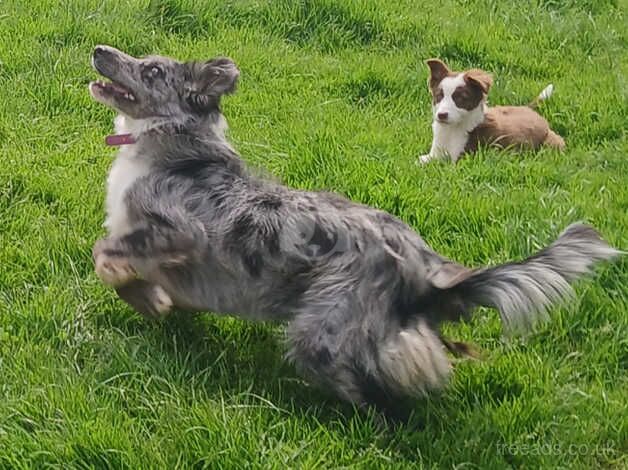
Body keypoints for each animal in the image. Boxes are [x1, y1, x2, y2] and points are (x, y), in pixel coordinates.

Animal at [422, 59, 564, 164]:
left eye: (461, 98)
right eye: (439, 96)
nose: (441, 115)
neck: (452, 129)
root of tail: (529, 109)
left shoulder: (460, 158)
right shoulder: (433, 153)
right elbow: (421, 160)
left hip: (552, 143)